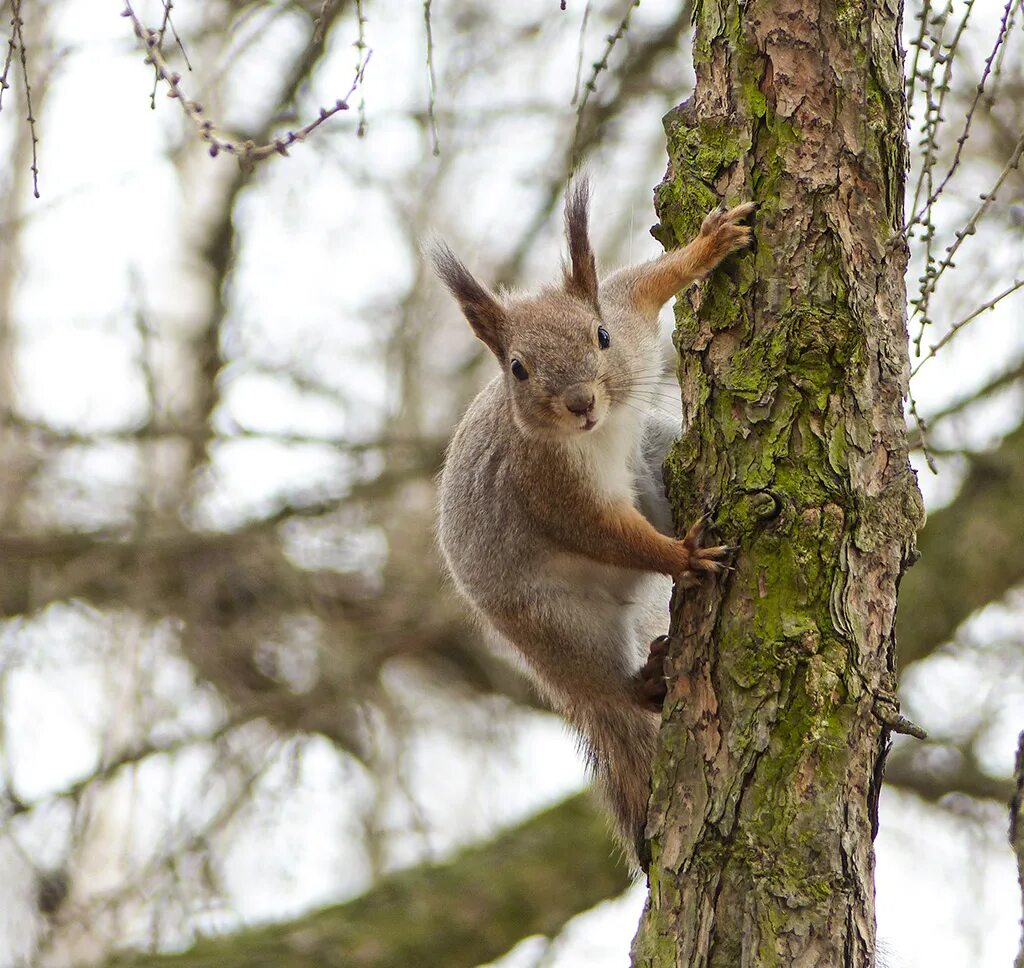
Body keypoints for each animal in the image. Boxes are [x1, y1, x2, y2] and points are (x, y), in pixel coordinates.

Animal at [432, 181, 753, 868]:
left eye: (600, 336)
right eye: (517, 368)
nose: (580, 403)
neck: (595, 433)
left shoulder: (631, 322)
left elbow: (646, 284)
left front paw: (707, 245)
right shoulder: (546, 486)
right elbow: (604, 533)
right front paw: (683, 557)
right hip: (556, 626)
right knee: (612, 690)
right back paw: (645, 681)